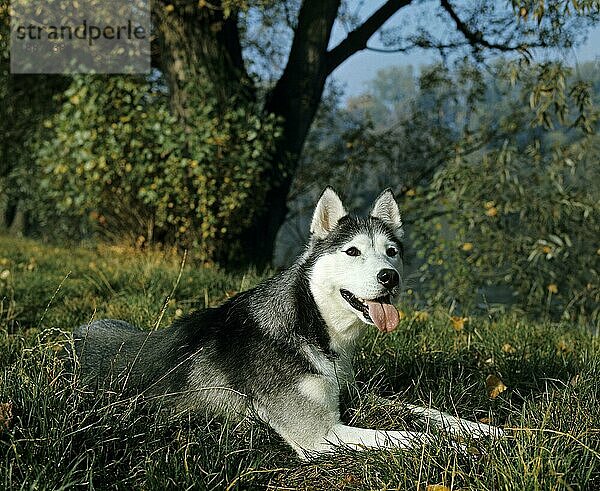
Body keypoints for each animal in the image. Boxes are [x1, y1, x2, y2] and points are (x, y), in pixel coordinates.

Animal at [74, 187, 502, 458]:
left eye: (392, 252)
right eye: (352, 251)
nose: (390, 277)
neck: (309, 328)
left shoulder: (355, 394)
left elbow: (430, 414)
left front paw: (488, 431)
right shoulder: (320, 435)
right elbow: (411, 437)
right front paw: (459, 447)